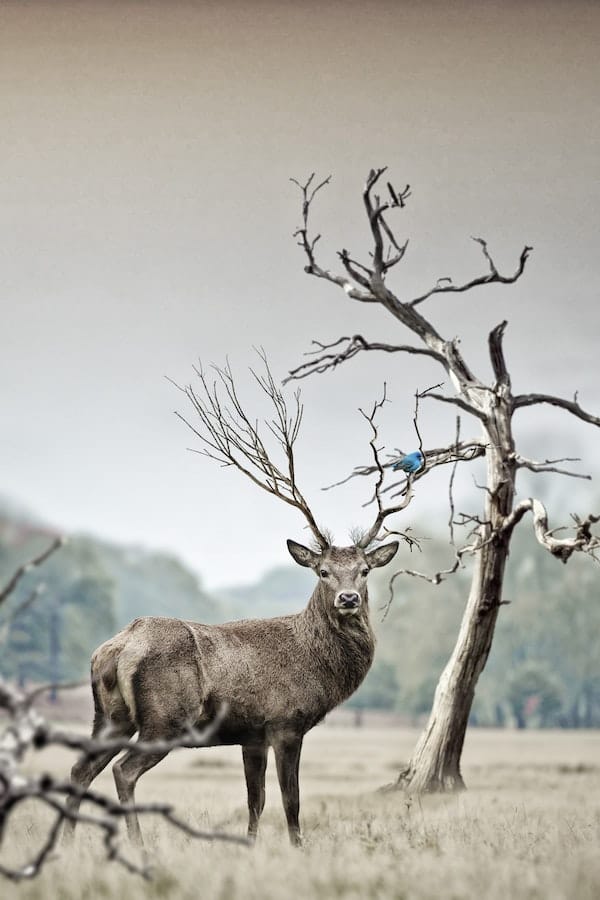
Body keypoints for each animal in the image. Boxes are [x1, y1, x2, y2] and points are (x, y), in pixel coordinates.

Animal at [64, 358, 413, 847]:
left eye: (364, 571)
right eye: (322, 572)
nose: (347, 598)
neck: (318, 666)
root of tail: (117, 647)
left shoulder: (252, 734)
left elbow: (256, 800)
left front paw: (249, 845)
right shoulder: (286, 722)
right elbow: (290, 800)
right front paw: (298, 848)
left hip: (110, 715)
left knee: (81, 768)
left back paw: (68, 842)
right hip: (165, 718)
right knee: (123, 771)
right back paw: (137, 842)